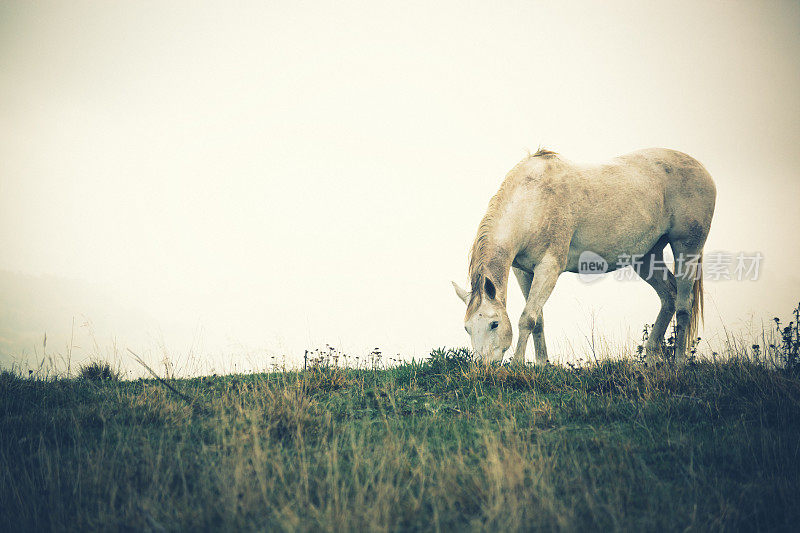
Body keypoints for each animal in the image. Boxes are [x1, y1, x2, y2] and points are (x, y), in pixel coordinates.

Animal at [454, 145, 716, 364]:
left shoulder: (549, 268)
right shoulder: (523, 271)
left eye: (494, 324)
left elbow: (527, 317)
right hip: (646, 257)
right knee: (668, 296)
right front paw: (542, 365)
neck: (533, 200)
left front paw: (518, 365)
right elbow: (538, 319)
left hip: (687, 248)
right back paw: (651, 359)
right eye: (467, 328)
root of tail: (702, 170)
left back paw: (679, 362)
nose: (483, 367)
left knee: (683, 304)